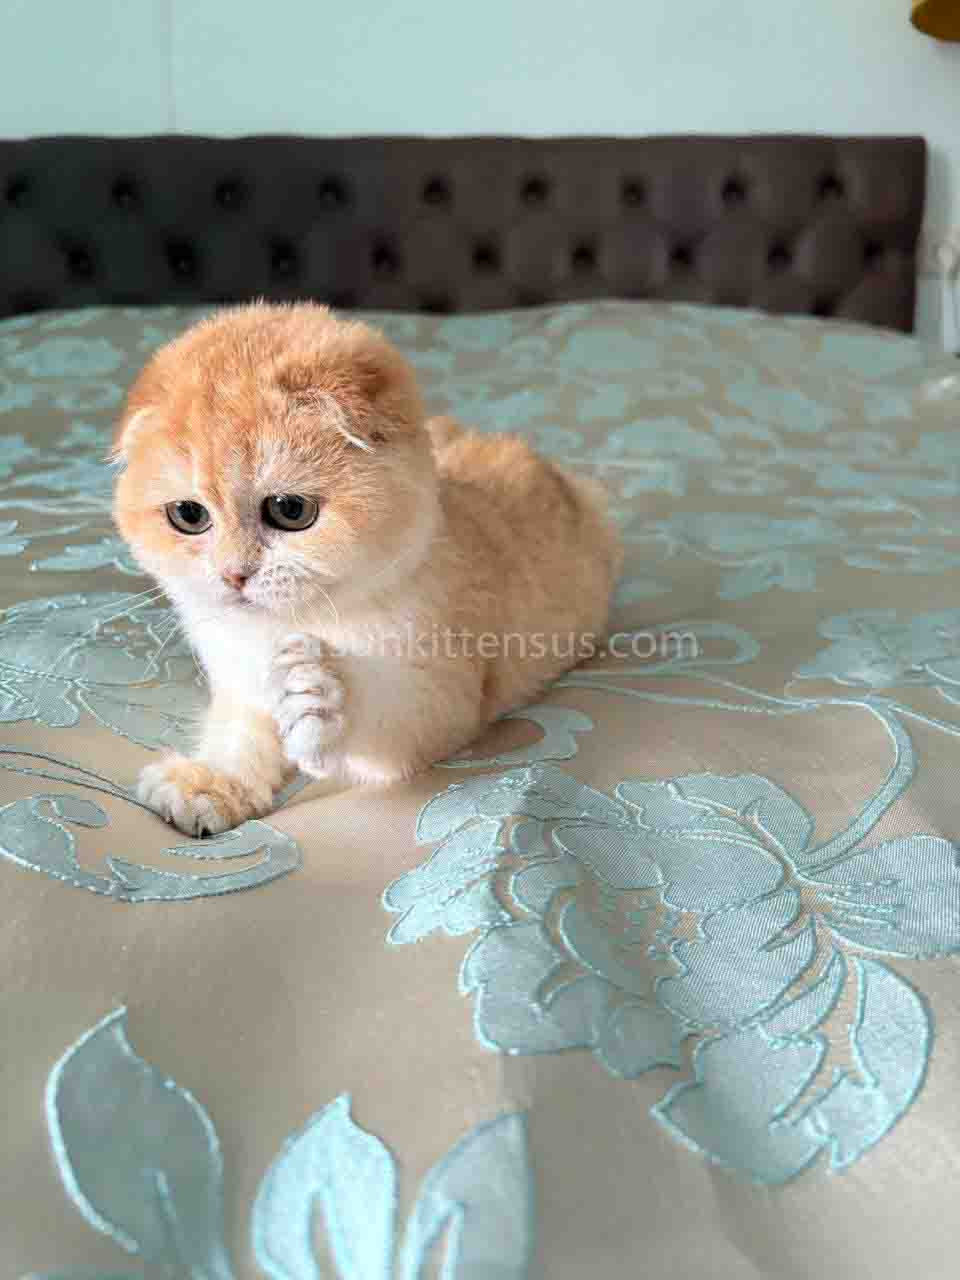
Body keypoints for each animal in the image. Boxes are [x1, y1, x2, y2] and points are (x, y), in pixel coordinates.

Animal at [113, 302, 622, 836]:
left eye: (289, 510)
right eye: (189, 516)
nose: (234, 574)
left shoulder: (447, 700)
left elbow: (382, 724)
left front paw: (316, 696)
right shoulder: (239, 687)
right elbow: (239, 739)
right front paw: (211, 784)